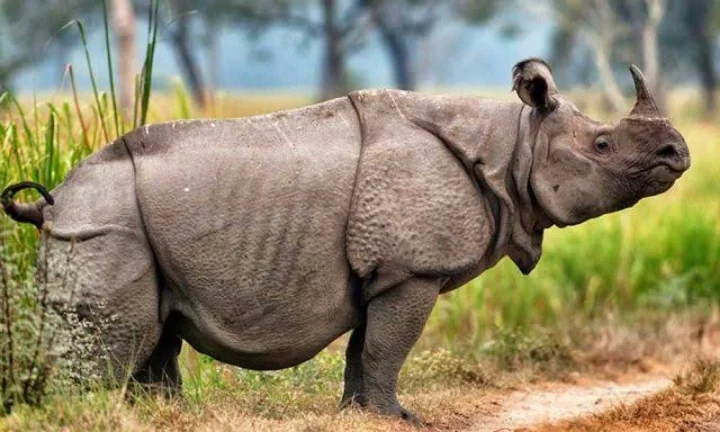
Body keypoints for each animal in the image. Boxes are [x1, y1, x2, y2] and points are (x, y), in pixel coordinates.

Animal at [2, 58, 689, 422]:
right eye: (603, 145)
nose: (677, 154)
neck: (512, 146)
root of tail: (51, 203)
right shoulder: (411, 268)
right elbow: (388, 346)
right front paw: (400, 419)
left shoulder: (385, 271)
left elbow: (366, 347)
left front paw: (361, 415)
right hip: (99, 223)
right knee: (118, 343)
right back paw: (83, 415)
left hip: (119, 223)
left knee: (157, 335)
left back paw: (161, 417)